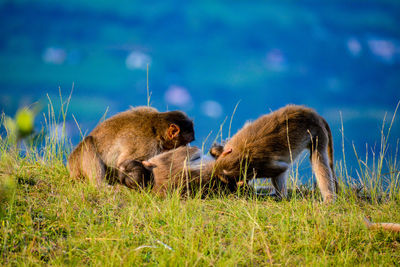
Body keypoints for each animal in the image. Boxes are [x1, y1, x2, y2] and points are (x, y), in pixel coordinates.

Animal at [67, 105, 195, 189]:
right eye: (184, 143)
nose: (186, 148)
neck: (156, 130)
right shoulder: (147, 145)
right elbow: (123, 164)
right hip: (76, 163)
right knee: (88, 143)